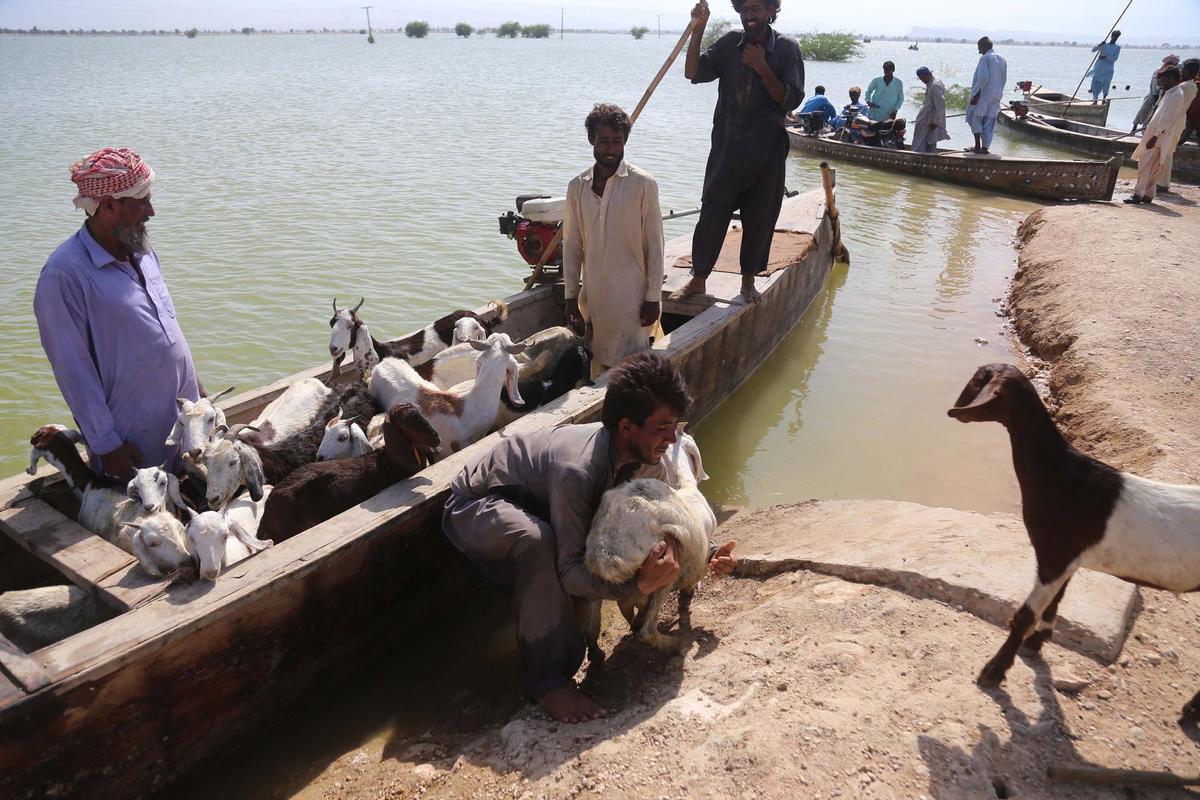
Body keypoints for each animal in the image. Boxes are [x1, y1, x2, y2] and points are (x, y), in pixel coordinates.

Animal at [585, 424, 715, 652]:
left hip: (597, 588)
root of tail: (605, 554)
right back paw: (674, 643)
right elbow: (690, 584)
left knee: (594, 628)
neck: (683, 486)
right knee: (646, 630)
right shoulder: (698, 562)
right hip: (662, 570)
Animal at [945, 362, 1200, 719]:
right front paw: (1035, 644)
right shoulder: (1068, 558)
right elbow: (1056, 601)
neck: (1061, 476)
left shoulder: (1055, 555)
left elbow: (1025, 615)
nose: (952, 412)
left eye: (976, 382)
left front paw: (993, 672)